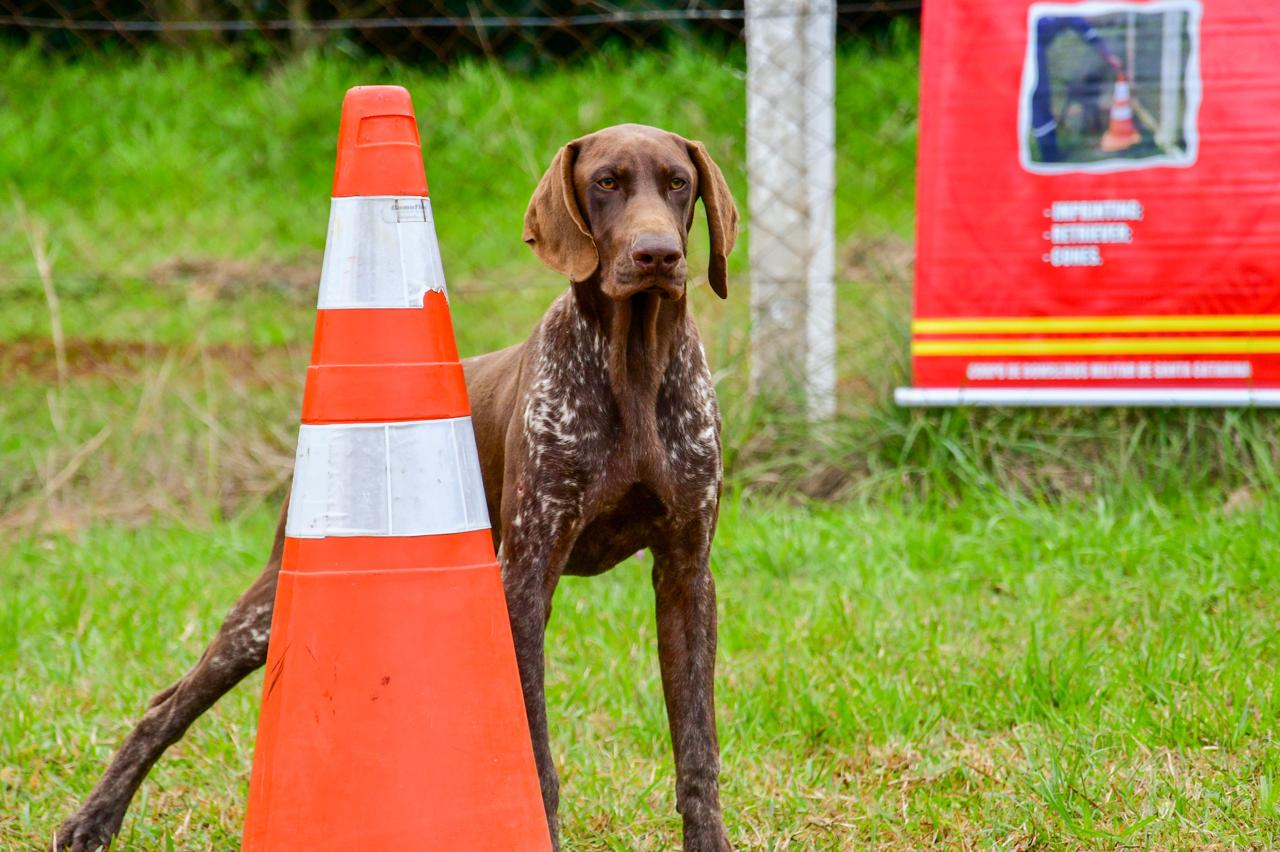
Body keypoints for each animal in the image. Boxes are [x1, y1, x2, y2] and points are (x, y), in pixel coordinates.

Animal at [52, 124, 742, 849]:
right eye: (606, 181)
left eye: (678, 183)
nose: (657, 254)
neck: (634, 368)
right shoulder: (526, 576)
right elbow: (537, 753)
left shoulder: (686, 576)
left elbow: (697, 744)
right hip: (266, 612)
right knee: (166, 707)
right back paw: (93, 819)